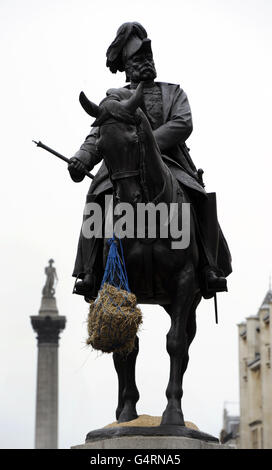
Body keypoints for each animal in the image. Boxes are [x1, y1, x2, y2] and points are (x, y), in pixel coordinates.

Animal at [78, 82, 202, 428]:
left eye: (134, 139)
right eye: (101, 146)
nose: (128, 200)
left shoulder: (185, 282)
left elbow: (175, 343)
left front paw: (173, 414)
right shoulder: (122, 284)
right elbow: (127, 348)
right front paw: (127, 412)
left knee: (185, 344)